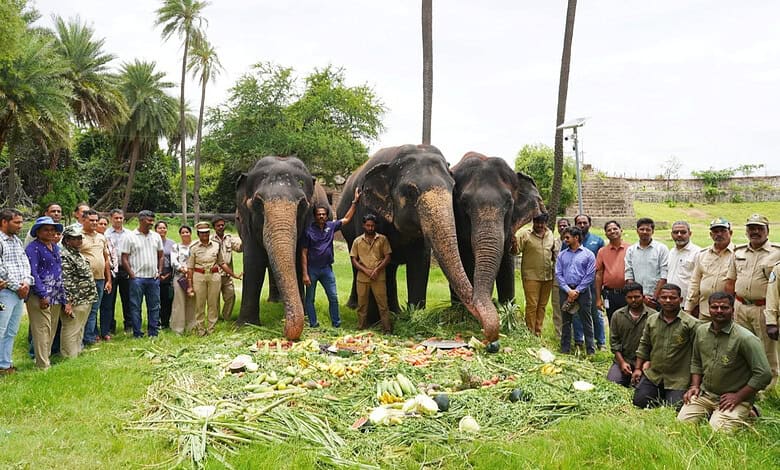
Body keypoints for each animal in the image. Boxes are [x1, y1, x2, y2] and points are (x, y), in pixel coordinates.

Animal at [235, 156, 322, 340]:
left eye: (303, 205)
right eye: (258, 203)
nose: (283, 328)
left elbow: (298, 260)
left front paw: (304, 317)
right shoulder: (247, 224)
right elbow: (253, 262)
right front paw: (245, 326)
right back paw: (274, 302)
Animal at [338, 144, 500, 340]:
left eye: (453, 189)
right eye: (411, 191)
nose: (485, 333)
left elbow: (420, 263)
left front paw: (414, 319)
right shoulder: (366, 209)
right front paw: (375, 324)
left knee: (390, 268)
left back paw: (396, 312)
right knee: (358, 263)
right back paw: (355, 307)